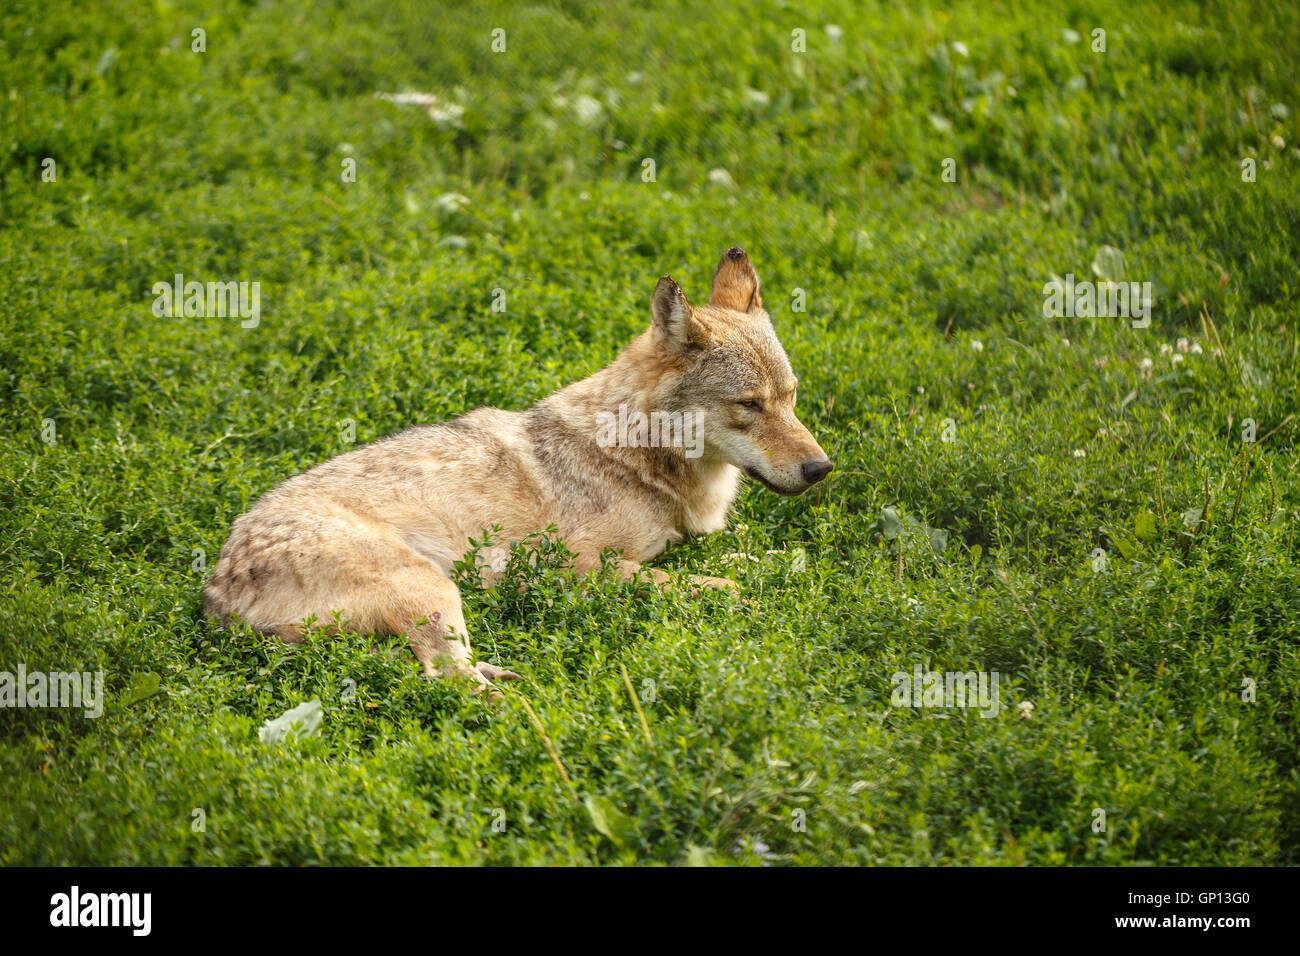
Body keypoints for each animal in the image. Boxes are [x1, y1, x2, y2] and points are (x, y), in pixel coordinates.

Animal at [204, 247, 832, 694]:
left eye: (791, 397)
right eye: (750, 405)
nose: (821, 468)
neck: (634, 456)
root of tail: (216, 596)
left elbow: (746, 559)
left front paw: (786, 566)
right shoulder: (575, 566)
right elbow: (722, 585)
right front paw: (752, 597)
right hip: (437, 590)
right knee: (446, 680)